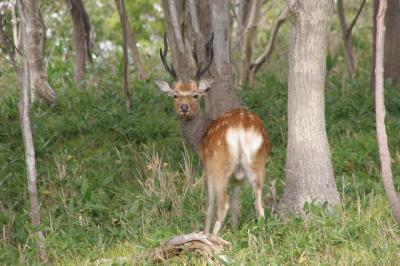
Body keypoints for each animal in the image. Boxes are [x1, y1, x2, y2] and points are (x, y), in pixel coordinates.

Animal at [155, 33, 270, 235]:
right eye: (175, 95)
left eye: (195, 95)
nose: (183, 108)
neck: (200, 138)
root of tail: (243, 127)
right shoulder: (237, 177)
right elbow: (236, 203)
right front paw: (235, 228)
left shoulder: (206, 166)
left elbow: (209, 205)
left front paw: (206, 230)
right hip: (257, 163)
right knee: (258, 204)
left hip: (219, 164)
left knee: (222, 204)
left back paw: (212, 236)